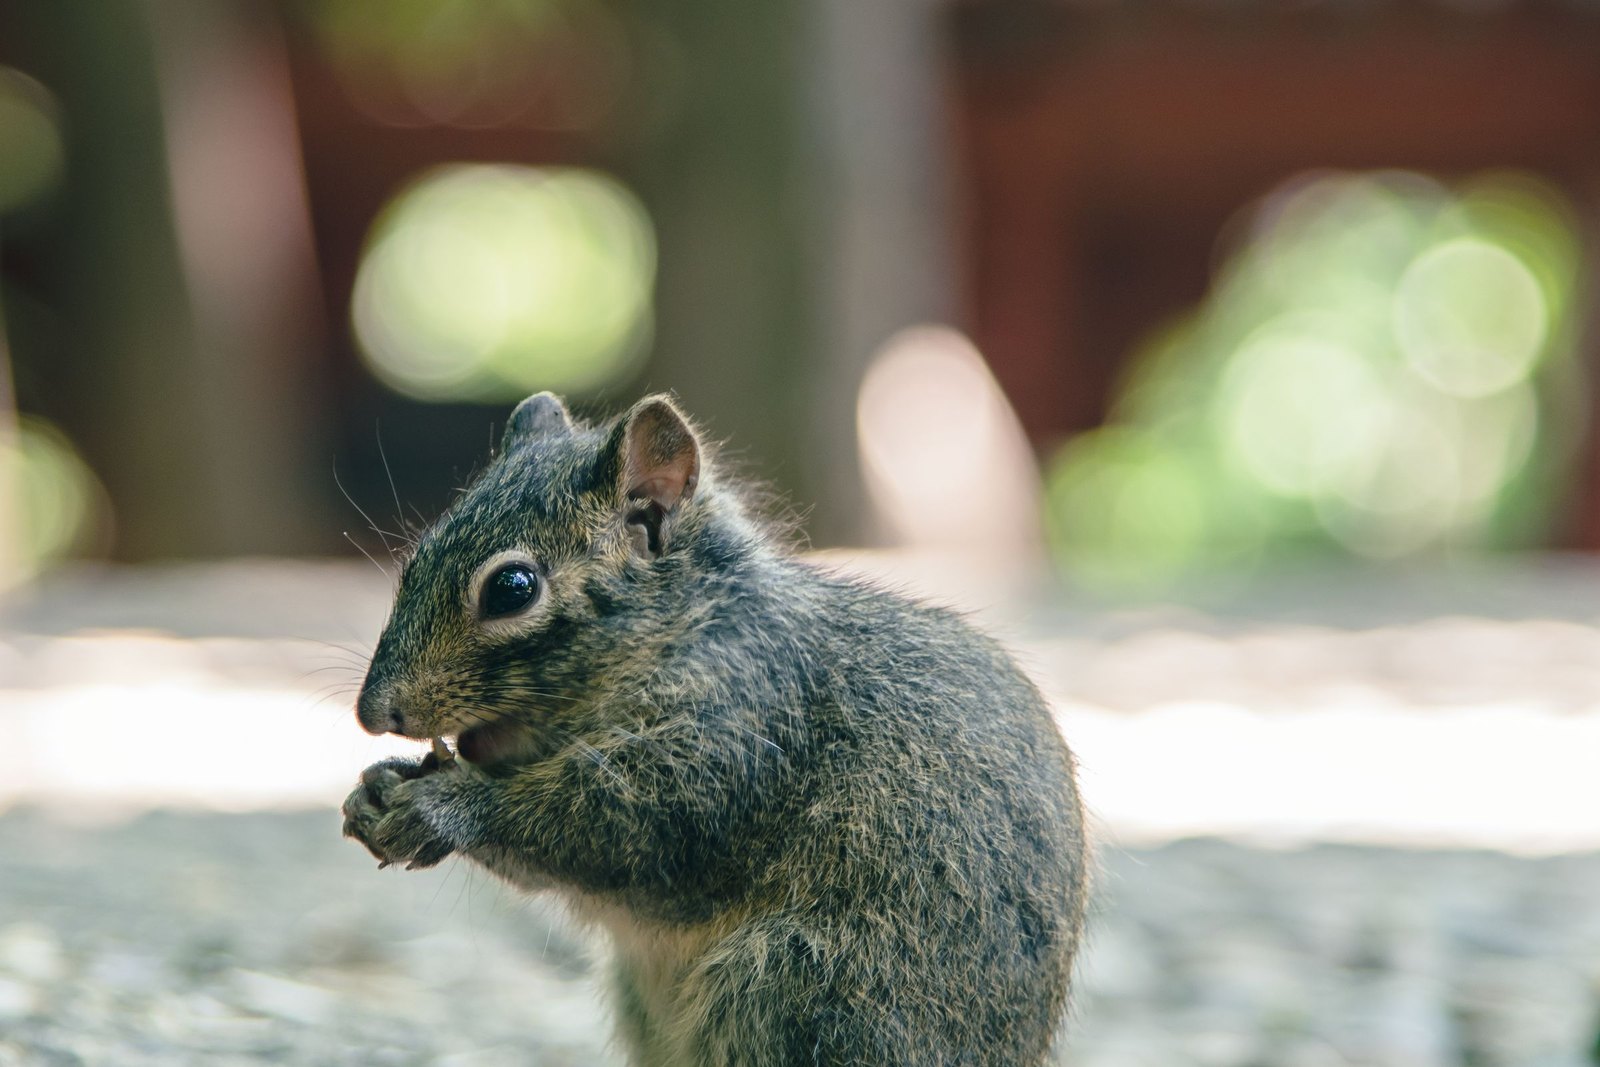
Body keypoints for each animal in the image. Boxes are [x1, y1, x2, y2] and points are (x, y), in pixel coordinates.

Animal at [342, 392, 1089, 1066]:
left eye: (512, 588)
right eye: (416, 557)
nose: (373, 713)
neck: (687, 627)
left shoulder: (737, 729)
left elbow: (620, 827)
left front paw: (443, 806)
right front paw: (375, 789)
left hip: (800, 988)